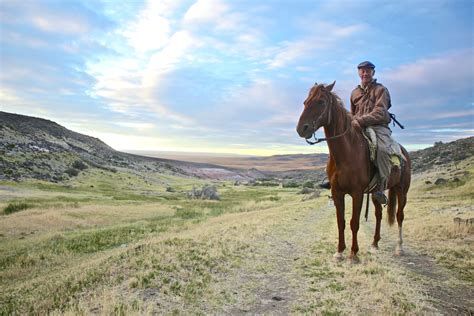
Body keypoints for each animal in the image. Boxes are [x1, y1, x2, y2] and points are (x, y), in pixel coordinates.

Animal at [296, 81, 412, 262]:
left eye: (321, 102)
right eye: (305, 102)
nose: (302, 128)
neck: (346, 153)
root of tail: (404, 152)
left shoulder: (357, 193)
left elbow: (354, 223)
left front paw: (353, 253)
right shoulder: (337, 193)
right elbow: (341, 222)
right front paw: (339, 251)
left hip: (402, 190)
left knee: (400, 215)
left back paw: (399, 247)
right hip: (375, 193)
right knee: (379, 214)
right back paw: (374, 244)